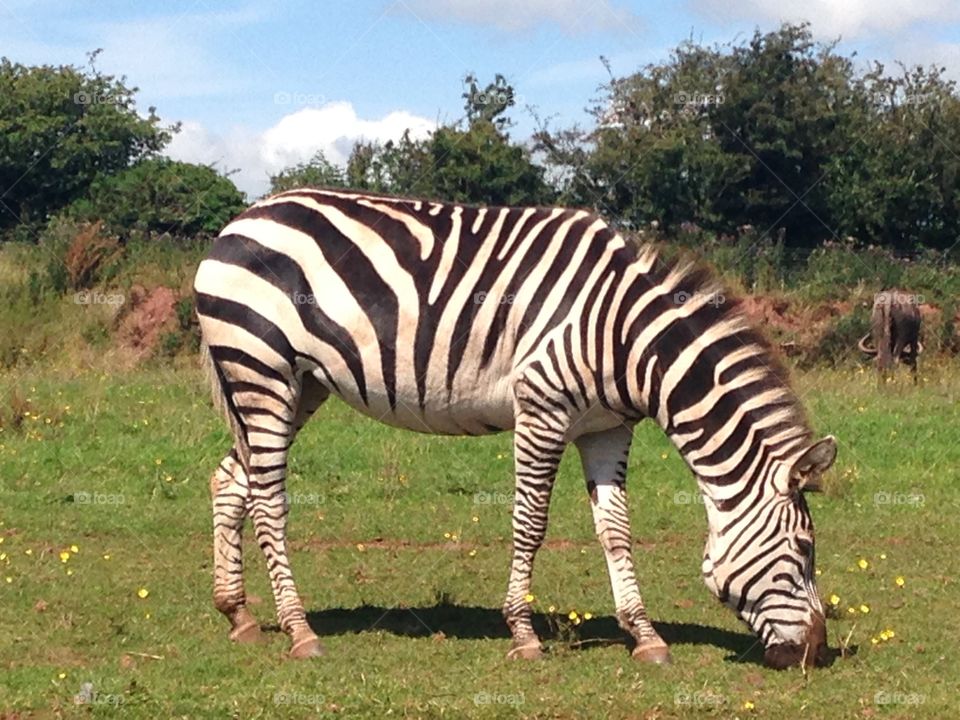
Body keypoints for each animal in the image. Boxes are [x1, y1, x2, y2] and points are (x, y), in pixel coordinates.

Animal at [194, 188, 837, 669]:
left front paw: (644, 635)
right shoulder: (542, 408)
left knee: (233, 478)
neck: (627, 339)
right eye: (804, 549)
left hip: (299, 383)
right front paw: (523, 634)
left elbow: (616, 530)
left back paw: (238, 614)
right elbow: (530, 523)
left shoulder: (606, 428)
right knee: (268, 498)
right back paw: (299, 630)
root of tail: (242, 217)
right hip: (260, 367)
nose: (815, 653)